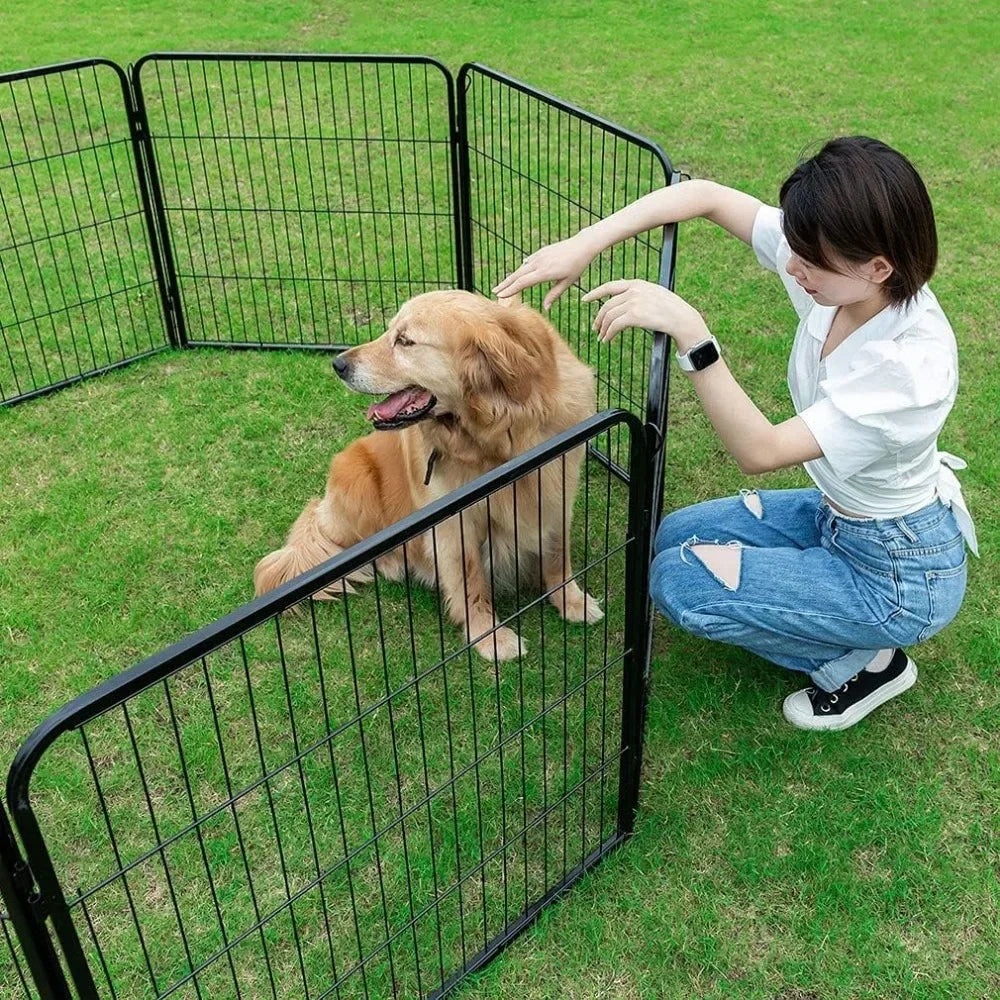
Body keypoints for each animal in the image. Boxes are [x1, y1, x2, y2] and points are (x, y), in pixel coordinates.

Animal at [256, 290, 600, 660]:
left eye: (405, 341)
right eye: (390, 331)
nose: (338, 365)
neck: (496, 439)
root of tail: (323, 507)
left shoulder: (556, 489)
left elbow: (557, 555)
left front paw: (572, 601)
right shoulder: (454, 524)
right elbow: (471, 582)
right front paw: (491, 637)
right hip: (356, 478)